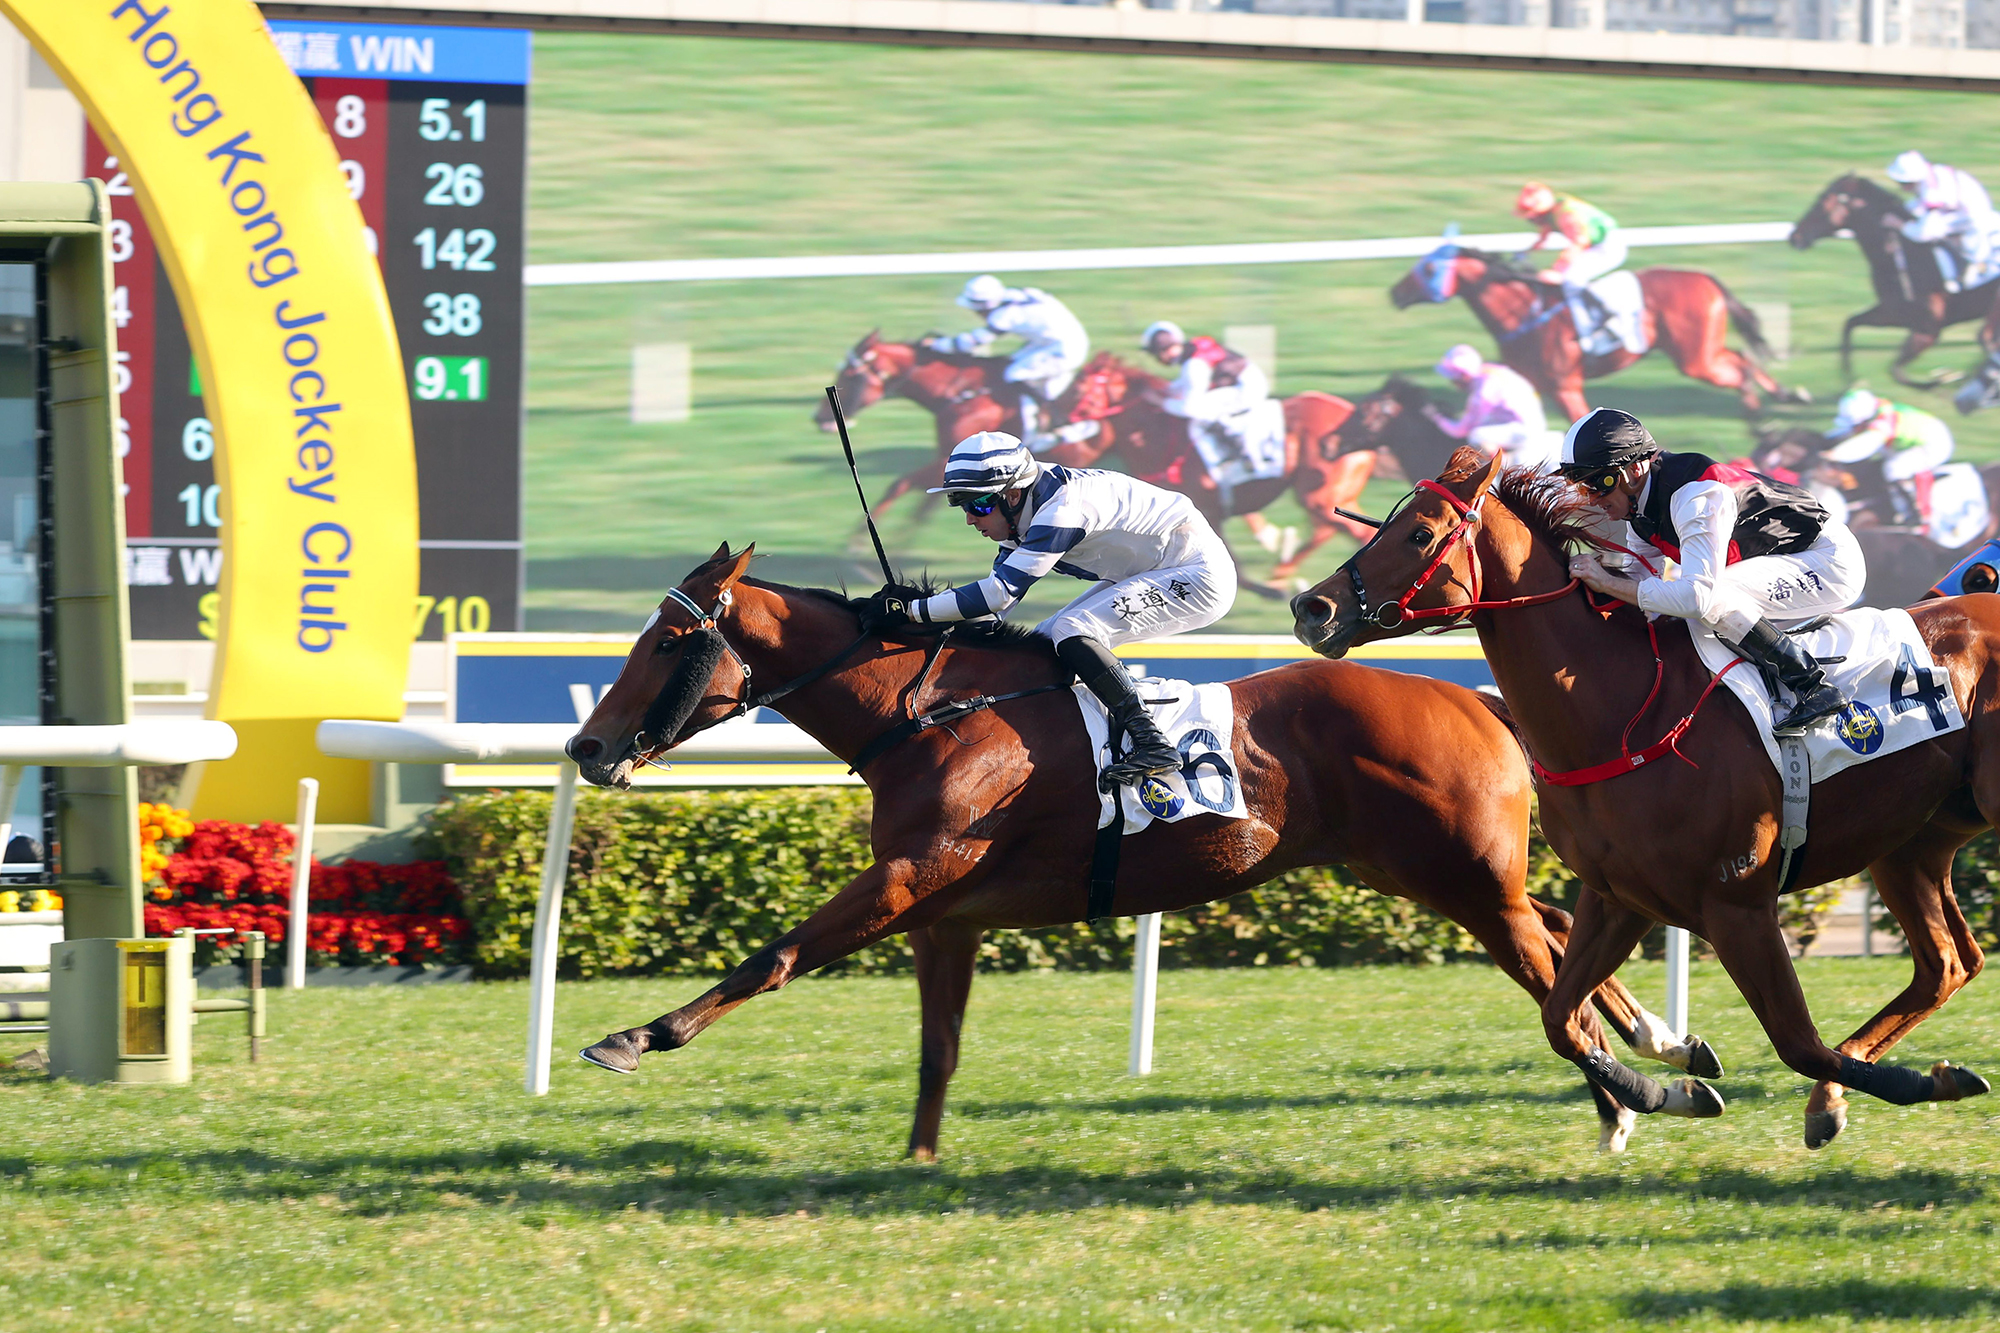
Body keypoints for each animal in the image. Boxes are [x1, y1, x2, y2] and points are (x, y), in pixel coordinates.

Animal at [560, 544, 1720, 1160]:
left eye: (671, 640)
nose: (587, 746)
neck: (928, 714)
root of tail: (1473, 697)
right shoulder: (941, 912)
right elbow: (937, 1045)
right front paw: (920, 1157)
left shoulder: (908, 875)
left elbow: (779, 953)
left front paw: (634, 1035)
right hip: (1419, 872)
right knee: (1561, 936)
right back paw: (1660, 1052)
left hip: (1460, 874)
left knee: (1548, 970)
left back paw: (1639, 1087)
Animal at [1288, 452, 1992, 1144]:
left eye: (1420, 534)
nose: (1310, 607)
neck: (1620, 715)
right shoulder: (1617, 897)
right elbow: (1561, 1020)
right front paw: (1669, 1090)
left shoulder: (1738, 904)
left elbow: (1798, 1044)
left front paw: (1924, 1084)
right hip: (1913, 844)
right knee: (1949, 964)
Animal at [1392, 241, 1800, 418]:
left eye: (1428, 269)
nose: (1394, 292)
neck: (1524, 313)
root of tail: (1705, 278)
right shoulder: (1532, 387)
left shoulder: (1566, 386)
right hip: (1701, 351)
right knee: (1741, 358)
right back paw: (1783, 395)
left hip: (1695, 358)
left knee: (1740, 369)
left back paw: (1757, 413)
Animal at [1792, 174, 1992, 386]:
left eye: (1823, 201)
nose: (1795, 236)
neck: (1902, 254)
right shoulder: (1893, 313)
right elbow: (1850, 323)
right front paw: (1849, 376)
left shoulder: (1927, 330)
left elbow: (1897, 371)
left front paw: (1944, 379)